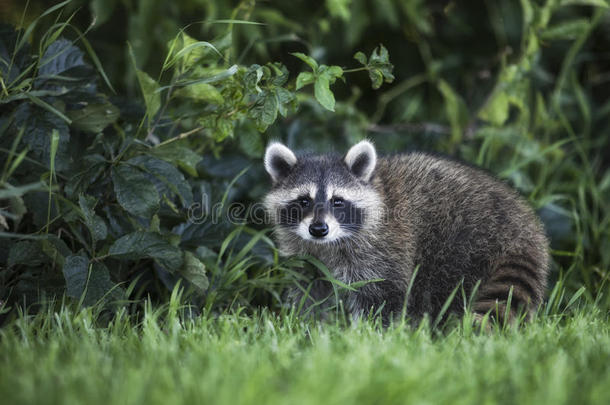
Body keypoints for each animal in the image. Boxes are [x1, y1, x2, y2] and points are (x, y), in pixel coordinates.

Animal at [264, 140, 548, 324]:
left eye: (337, 201)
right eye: (304, 201)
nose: (318, 229)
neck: (328, 244)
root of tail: (525, 229)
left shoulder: (383, 248)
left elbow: (381, 296)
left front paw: (366, 336)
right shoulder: (306, 256)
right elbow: (308, 290)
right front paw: (305, 325)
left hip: (466, 245)